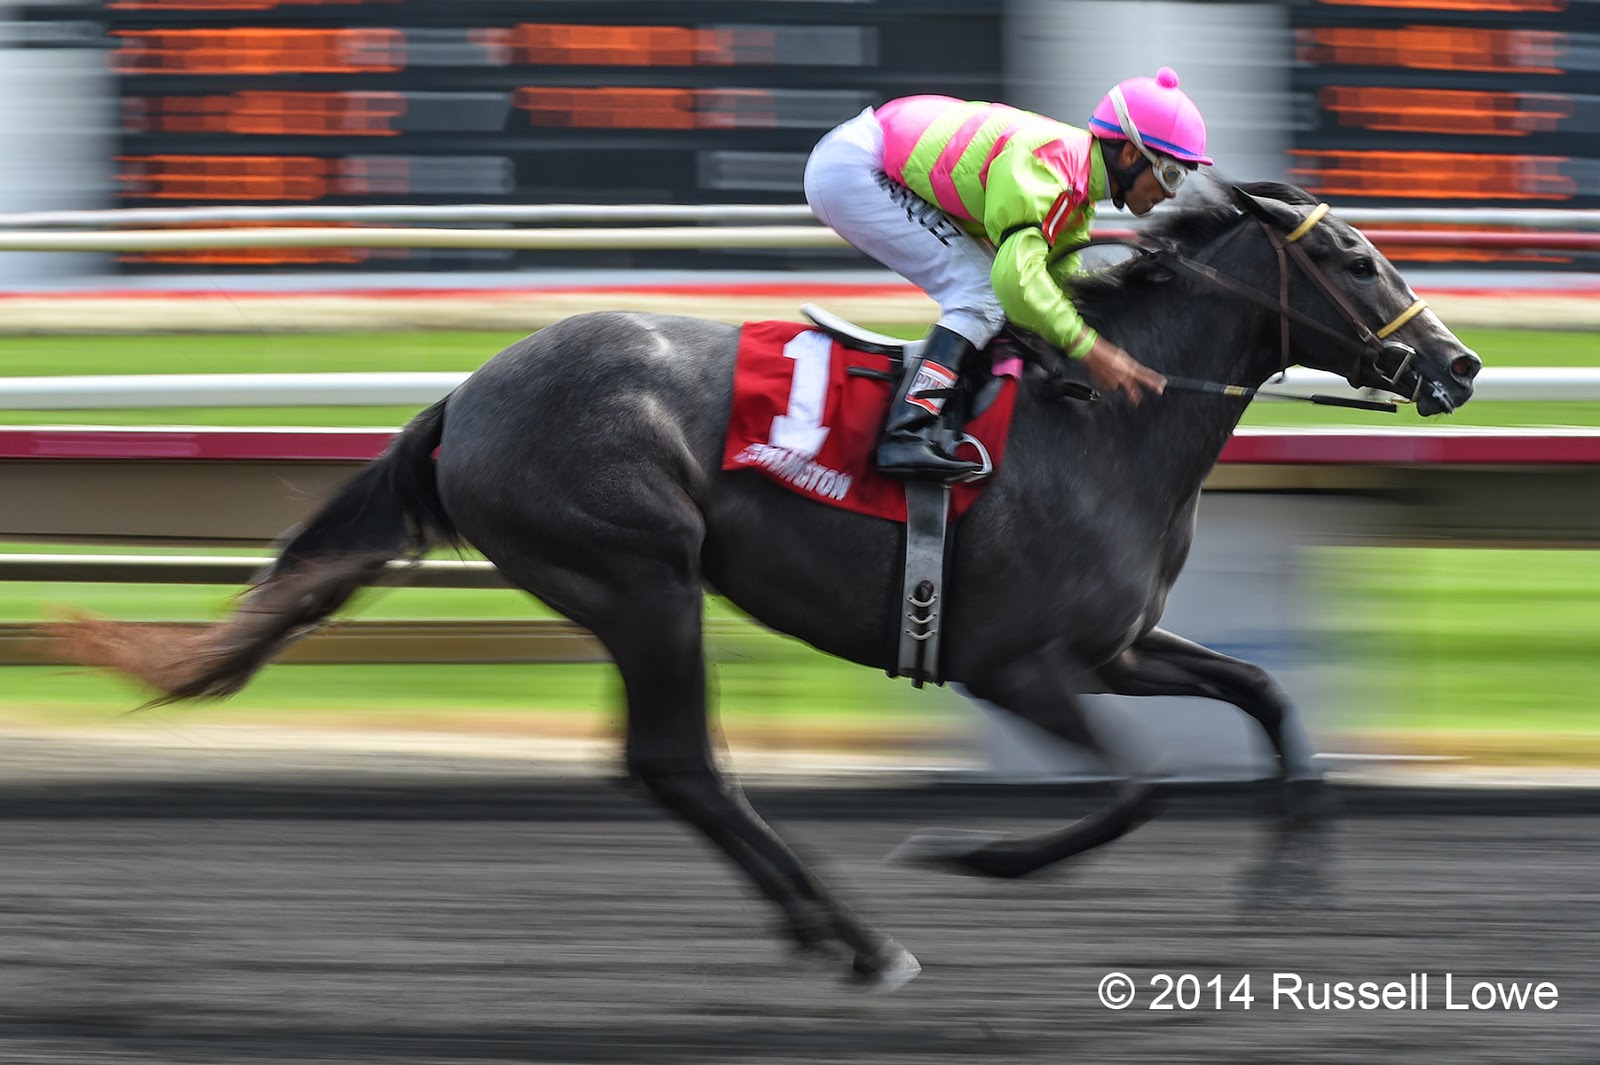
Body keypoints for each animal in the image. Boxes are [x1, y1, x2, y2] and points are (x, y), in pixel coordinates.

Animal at [54, 181, 1479, 992]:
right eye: (1357, 259)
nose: (1459, 365)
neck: (1106, 418)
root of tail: (469, 396)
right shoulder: (1015, 665)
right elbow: (1137, 791)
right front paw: (972, 852)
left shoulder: (1116, 645)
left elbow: (1263, 693)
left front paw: (1293, 880)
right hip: (638, 576)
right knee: (678, 762)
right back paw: (858, 938)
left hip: (639, 590)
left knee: (680, 768)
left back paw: (820, 928)